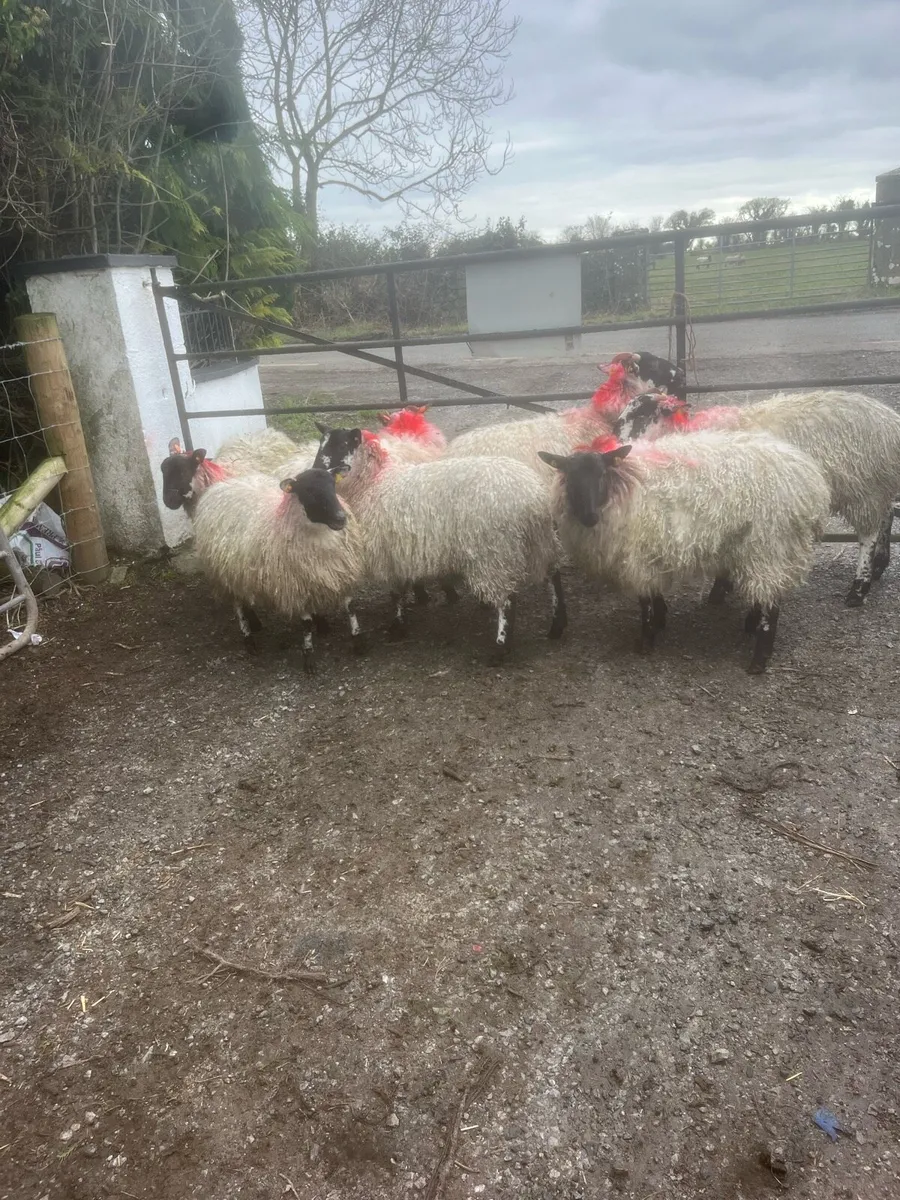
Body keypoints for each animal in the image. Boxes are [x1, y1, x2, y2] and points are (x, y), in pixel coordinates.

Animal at [191, 466, 366, 672]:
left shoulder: (337, 572)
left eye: (333, 485)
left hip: (242, 572)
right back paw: (249, 639)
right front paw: (309, 657)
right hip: (226, 573)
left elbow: (350, 607)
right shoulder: (295, 585)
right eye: (308, 491)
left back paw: (256, 622)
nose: (340, 518)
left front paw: (356, 640)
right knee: (238, 606)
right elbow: (306, 624)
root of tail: (220, 485)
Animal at [317, 429, 566, 659]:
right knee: (554, 576)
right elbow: (402, 590)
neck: (375, 483)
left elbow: (396, 593)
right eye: (322, 443)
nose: (317, 471)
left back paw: (500, 648)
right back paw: (557, 625)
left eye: (342, 445)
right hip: (540, 542)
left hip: (496, 551)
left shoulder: (389, 552)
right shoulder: (400, 551)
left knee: (508, 600)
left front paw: (397, 627)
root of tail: (533, 496)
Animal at [539, 431, 830, 673]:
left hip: (770, 545)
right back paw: (751, 624)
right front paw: (661, 618)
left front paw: (646, 640)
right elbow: (654, 593)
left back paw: (759, 659)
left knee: (772, 603)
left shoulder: (638, 556)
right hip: (759, 548)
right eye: (569, 477)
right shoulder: (650, 553)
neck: (624, 484)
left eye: (601, 474)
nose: (589, 517)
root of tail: (811, 483)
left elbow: (644, 601)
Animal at [612, 388, 900, 606]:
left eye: (640, 413)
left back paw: (859, 588)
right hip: (879, 484)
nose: (616, 444)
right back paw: (879, 565)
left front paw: (720, 589)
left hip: (864, 488)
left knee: (868, 534)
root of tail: (891, 421)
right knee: (887, 515)